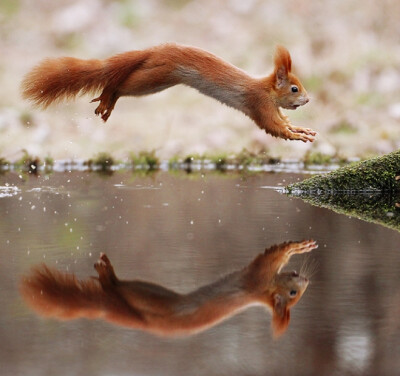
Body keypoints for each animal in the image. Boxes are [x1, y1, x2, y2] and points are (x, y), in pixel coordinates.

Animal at [20, 241, 318, 338]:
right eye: (293, 294)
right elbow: (273, 255)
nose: (307, 281)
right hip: (140, 297)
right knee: (112, 289)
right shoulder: (257, 276)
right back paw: (106, 274)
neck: (259, 294)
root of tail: (108, 309)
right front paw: (298, 247)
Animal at [21, 43, 316, 142]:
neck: (266, 89)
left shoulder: (272, 108)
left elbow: (283, 121)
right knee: (120, 84)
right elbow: (272, 127)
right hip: (152, 77)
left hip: (155, 80)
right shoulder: (260, 104)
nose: (308, 99)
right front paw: (296, 136)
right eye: (294, 88)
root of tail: (154, 50)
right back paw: (107, 96)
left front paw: (301, 129)